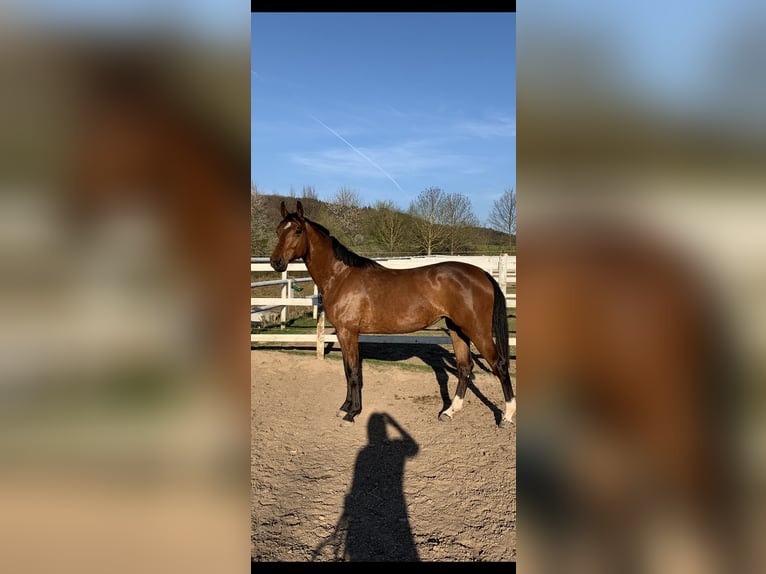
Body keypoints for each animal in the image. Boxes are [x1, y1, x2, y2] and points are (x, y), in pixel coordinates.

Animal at [270, 201, 516, 428]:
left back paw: (506, 417)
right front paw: (345, 407)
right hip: (457, 329)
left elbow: (354, 371)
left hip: (477, 330)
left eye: (297, 231)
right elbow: (347, 370)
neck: (340, 276)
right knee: (465, 368)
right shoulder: (342, 333)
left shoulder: (349, 332)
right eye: (278, 231)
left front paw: (353, 412)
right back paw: (449, 412)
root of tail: (482, 274)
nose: (276, 262)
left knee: (500, 365)